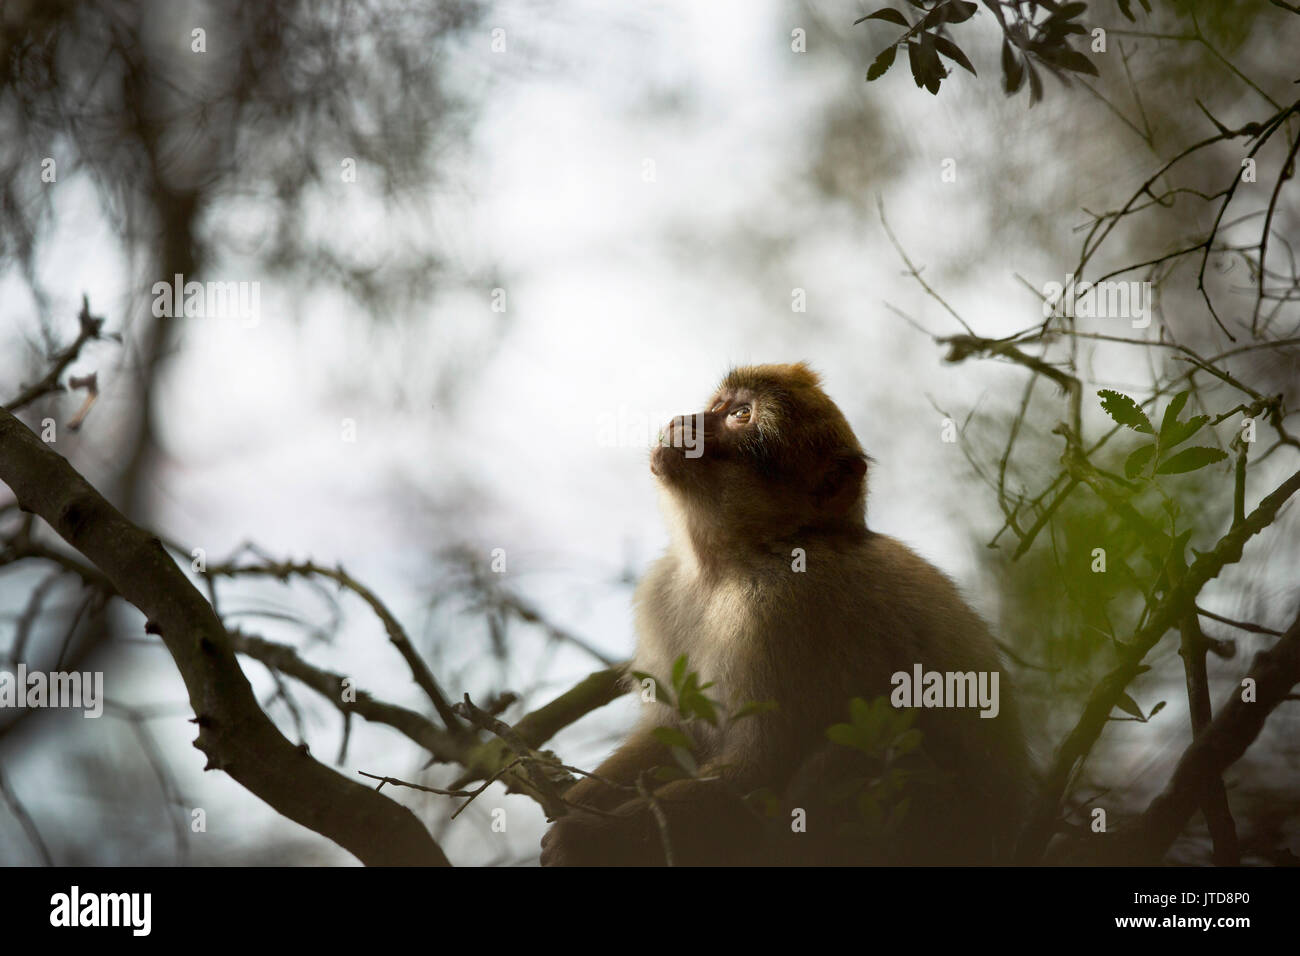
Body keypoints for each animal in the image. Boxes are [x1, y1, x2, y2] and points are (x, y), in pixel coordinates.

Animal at [543, 361, 1029, 868]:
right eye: (720, 404)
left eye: (740, 415)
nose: (686, 421)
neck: (734, 559)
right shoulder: (664, 591)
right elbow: (673, 734)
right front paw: (578, 802)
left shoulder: (782, 610)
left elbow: (757, 771)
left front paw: (590, 837)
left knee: (851, 754)